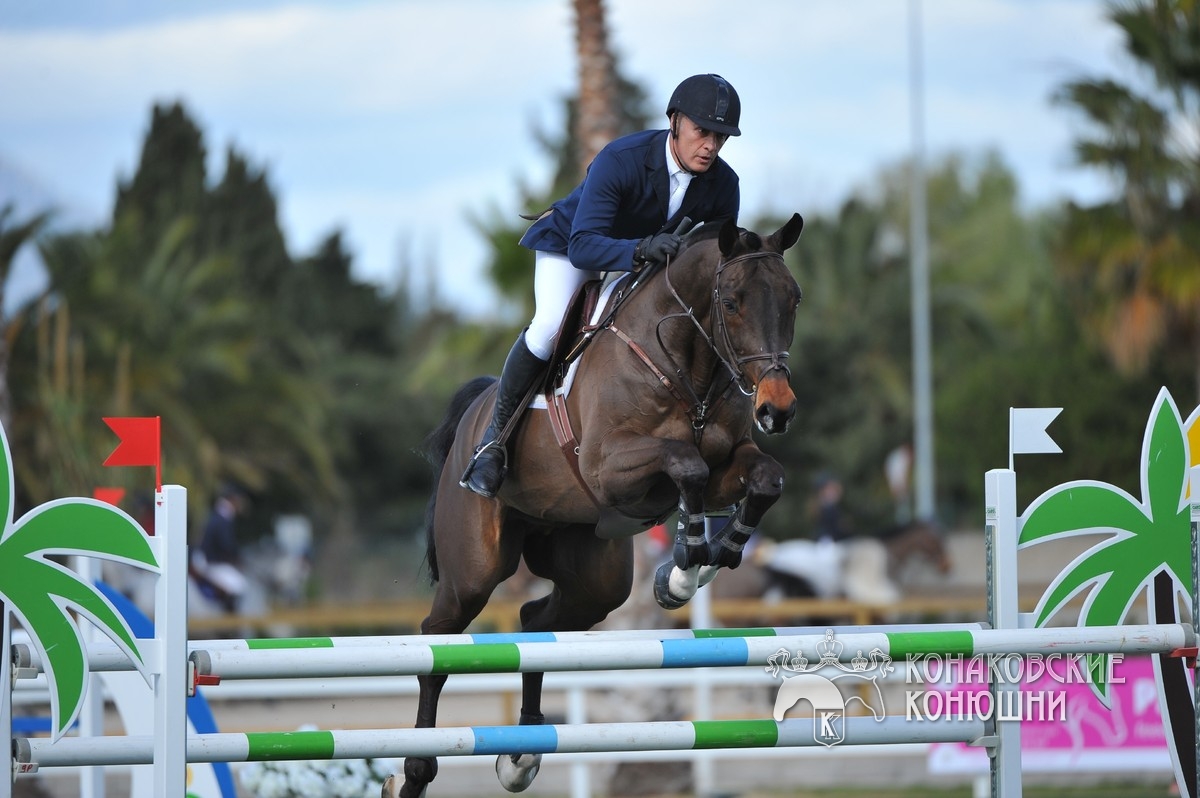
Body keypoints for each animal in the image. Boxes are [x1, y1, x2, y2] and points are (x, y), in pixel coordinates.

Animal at [386, 213, 806, 796]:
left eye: (794, 299)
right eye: (732, 303)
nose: (777, 409)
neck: (686, 365)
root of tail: (473, 416)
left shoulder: (731, 465)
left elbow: (765, 478)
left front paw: (704, 561)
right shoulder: (611, 469)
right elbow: (687, 466)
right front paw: (685, 566)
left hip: (592, 576)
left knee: (536, 622)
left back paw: (520, 756)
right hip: (474, 569)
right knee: (437, 642)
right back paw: (416, 773)